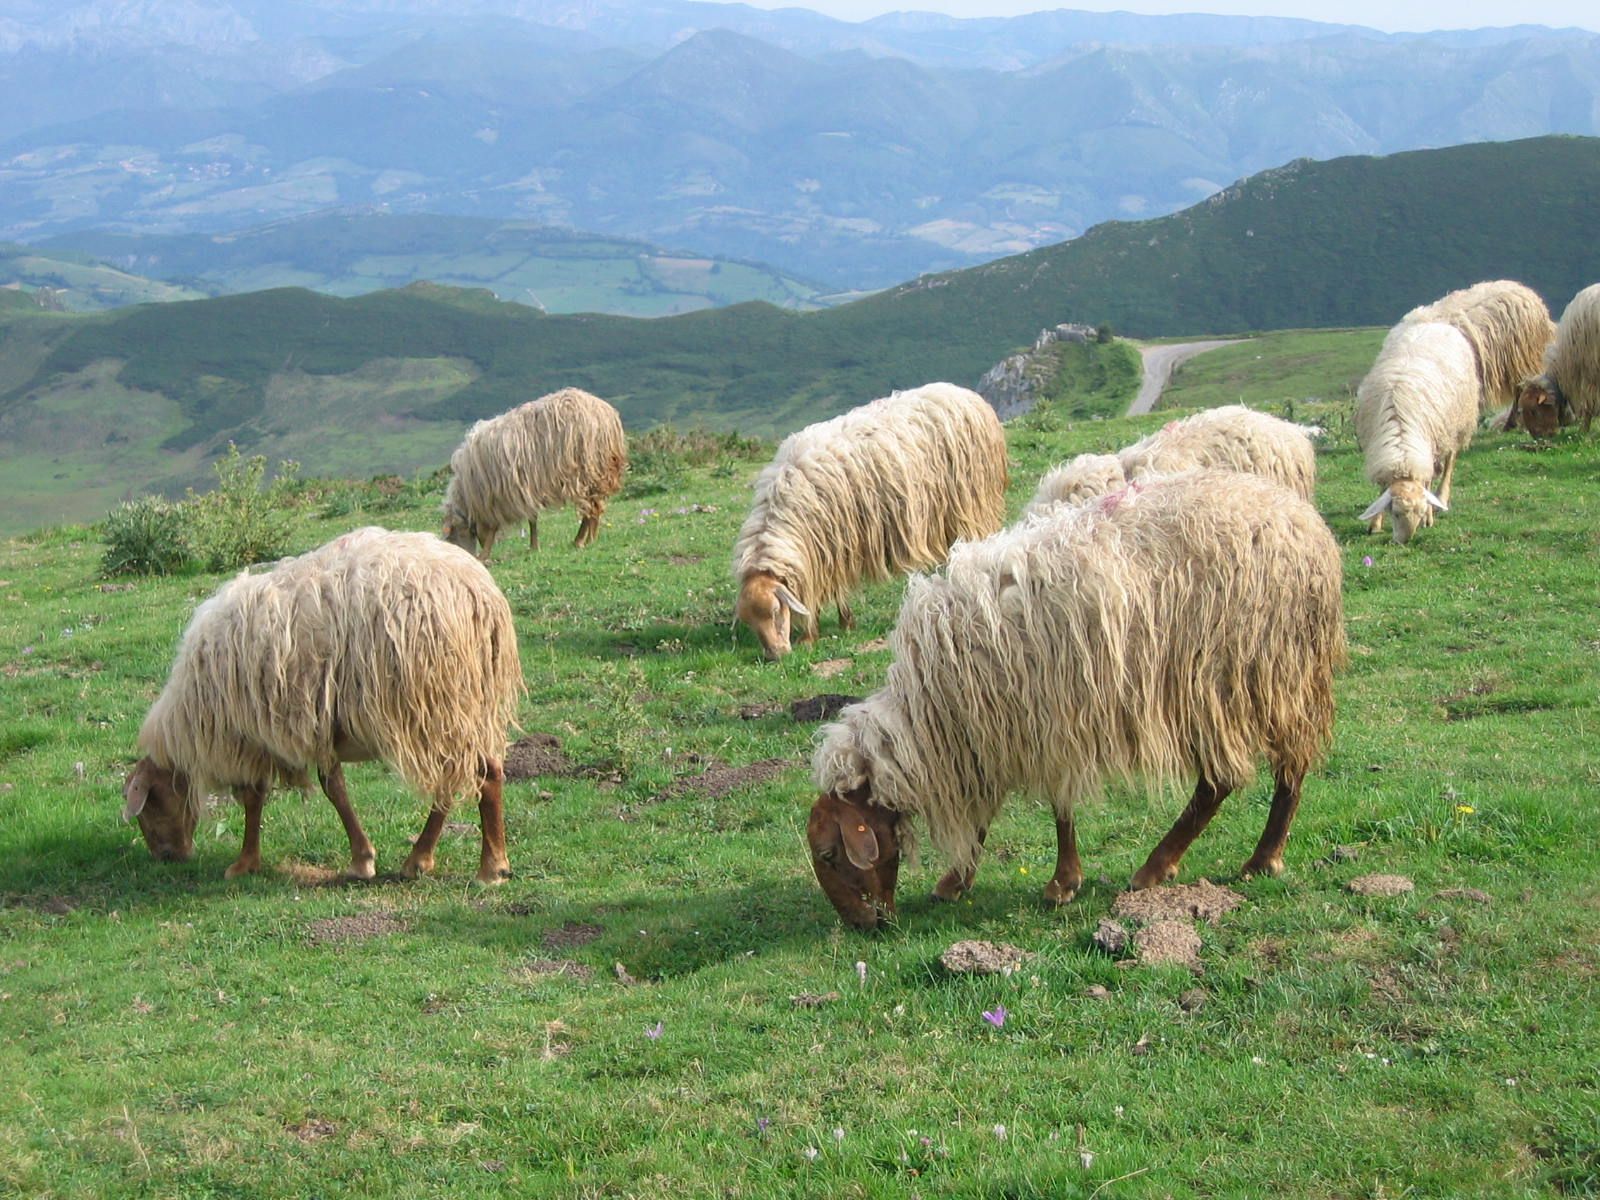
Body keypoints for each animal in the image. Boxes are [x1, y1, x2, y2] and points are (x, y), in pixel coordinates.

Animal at [122, 527, 525, 884]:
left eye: (150, 805)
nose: (167, 857)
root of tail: (479, 595)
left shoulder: (254, 734)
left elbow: (263, 797)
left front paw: (246, 863)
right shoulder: (313, 728)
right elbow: (327, 788)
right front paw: (360, 858)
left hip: (438, 700)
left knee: (481, 775)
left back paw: (489, 868)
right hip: (462, 705)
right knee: (462, 776)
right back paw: (424, 859)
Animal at [441, 387, 626, 558]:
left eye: (454, 536)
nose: (467, 556)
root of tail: (606, 414)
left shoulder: (498, 495)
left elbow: (496, 528)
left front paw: (485, 555)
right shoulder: (525, 489)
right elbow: (532, 519)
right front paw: (534, 547)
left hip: (584, 471)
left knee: (592, 508)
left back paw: (583, 541)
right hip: (596, 472)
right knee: (595, 507)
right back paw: (587, 539)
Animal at [733, 382, 1008, 659]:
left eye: (775, 610)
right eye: (750, 622)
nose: (775, 655)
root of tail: (969, 396)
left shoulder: (834, 543)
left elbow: (826, 588)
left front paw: (812, 634)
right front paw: (843, 622)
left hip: (973, 502)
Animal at [806, 471, 1345, 930]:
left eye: (830, 854)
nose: (863, 926)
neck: (929, 716)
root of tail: (1306, 524)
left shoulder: (1036, 719)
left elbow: (1056, 809)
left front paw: (1058, 882)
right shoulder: (995, 732)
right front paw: (959, 881)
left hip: (1234, 676)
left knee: (1226, 781)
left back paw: (1181, 866)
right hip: (1277, 678)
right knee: (1282, 770)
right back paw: (1249, 857)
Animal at [1355, 321, 1479, 544]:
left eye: (1420, 513)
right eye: (1395, 513)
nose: (1404, 542)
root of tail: (1437, 323)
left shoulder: (1431, 448)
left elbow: (1427, 483)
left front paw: (1429, 518)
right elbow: (1382, 490)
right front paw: (1375, 524)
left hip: (1455, 426)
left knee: (1450, 462)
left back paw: (1442, 495)